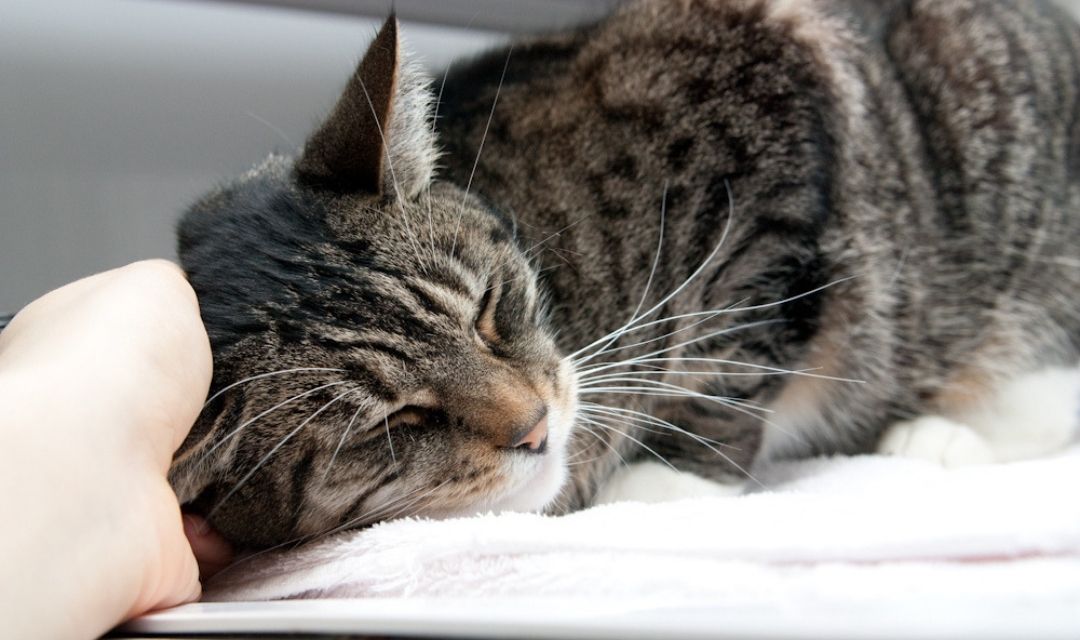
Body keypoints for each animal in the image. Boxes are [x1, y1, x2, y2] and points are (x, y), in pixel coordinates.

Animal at [168, 1, 1080, 548]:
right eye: (395, 423)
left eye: (489, 310)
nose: (536, 427)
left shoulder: (764, 75)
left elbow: (723, 356)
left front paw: (664, 488)